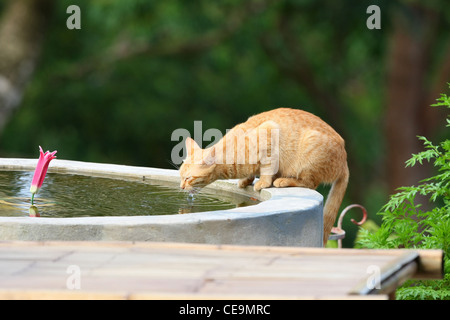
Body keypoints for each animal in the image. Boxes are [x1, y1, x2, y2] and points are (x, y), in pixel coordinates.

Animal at [179, 107, 348, 245]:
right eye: (181, 177)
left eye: (188, 178)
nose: (181, 186)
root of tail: (345, 161)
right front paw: (246, 181)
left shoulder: (269, 131)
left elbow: (267, 167)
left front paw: (264, 182)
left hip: (309, 150)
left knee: (310, 183)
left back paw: (284, 180)